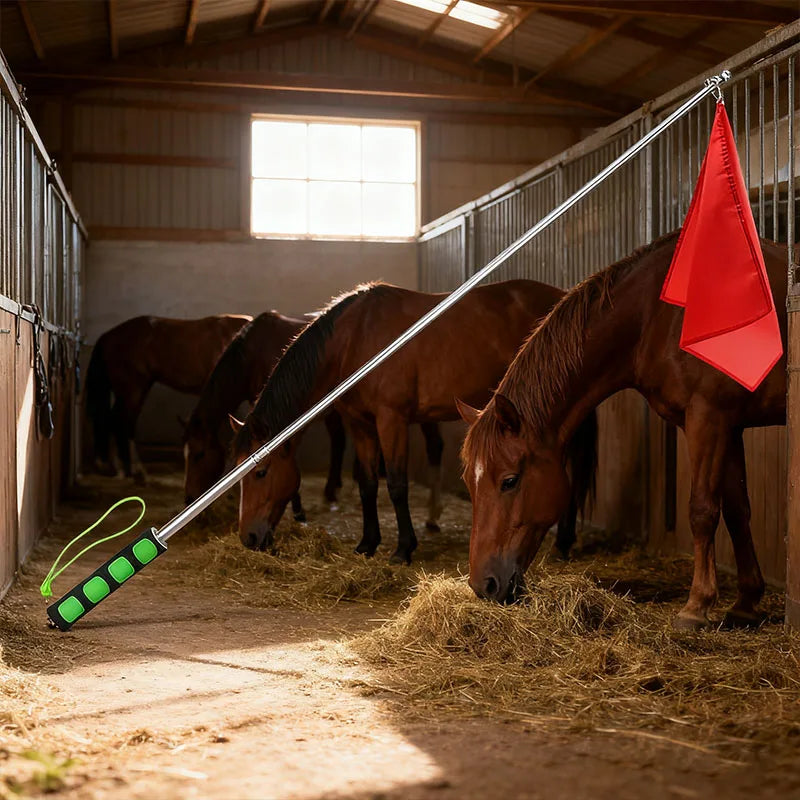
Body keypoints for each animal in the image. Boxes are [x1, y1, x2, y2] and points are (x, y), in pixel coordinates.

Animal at [232, 280, 599, 564]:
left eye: (260, 472)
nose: (248, 537)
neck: (355, 339)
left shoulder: (391, 420)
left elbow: (396, 484)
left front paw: (403, 549)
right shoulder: (361, 425)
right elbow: (367, 484)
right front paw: (367, 544)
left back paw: (563, 544)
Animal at [459, 232, 787, 629]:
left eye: (509, 481)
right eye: (469, 483)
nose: (484, 585)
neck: (659, 316)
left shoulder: (707, 418)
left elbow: (702, 510)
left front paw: (696, 606)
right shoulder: (729, 425)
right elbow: (737, 511)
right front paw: (745, 603)